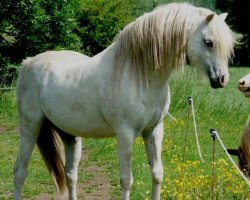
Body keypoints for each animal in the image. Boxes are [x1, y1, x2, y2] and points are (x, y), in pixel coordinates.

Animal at [14, 3, 234, 200]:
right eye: (208, 42)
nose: (222, 79)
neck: (138, 74)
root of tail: (27, 62)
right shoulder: (125, 134)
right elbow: (127, 180)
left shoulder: (154, 131)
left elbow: (157, 174)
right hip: (30, 126)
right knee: (20, 172)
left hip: (69, 135)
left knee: (70, 176)